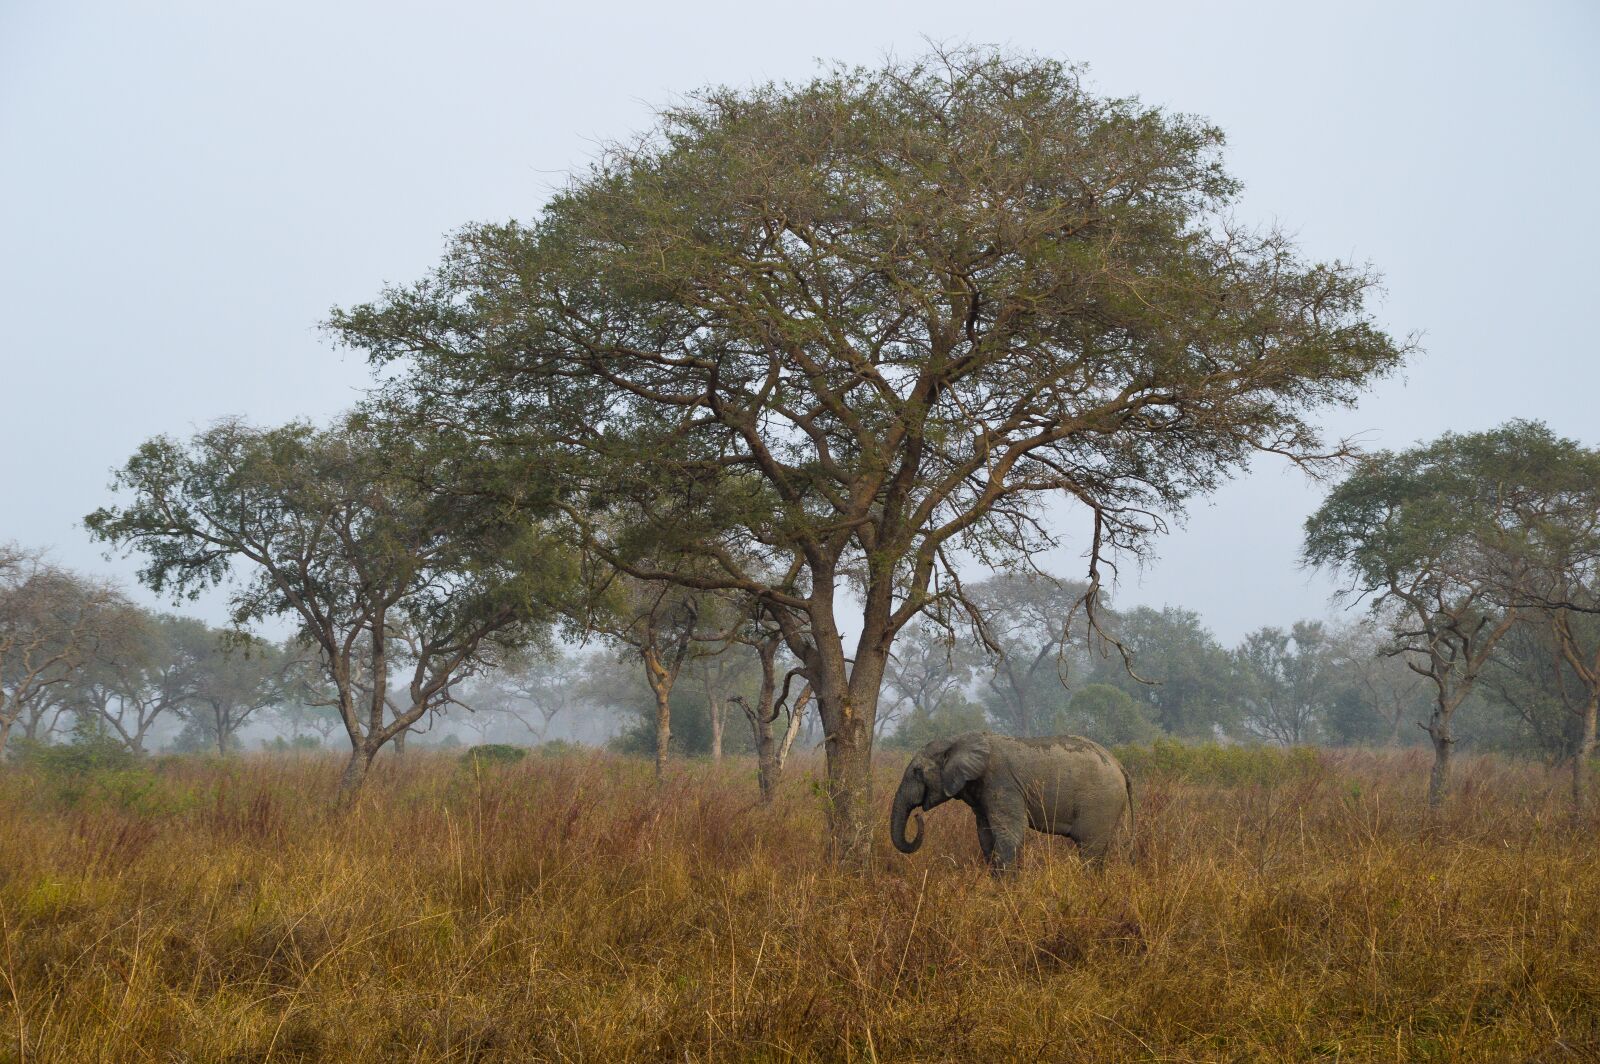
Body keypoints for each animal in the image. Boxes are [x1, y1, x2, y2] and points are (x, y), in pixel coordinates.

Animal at [889, 731, 1133, 872]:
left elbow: (1010, 833)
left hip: (1100, 802)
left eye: (917, 771)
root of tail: (1120, 765)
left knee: (1090, 850)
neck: (958, 739)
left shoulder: (1002, 783)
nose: (918, 816)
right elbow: (985, 835)